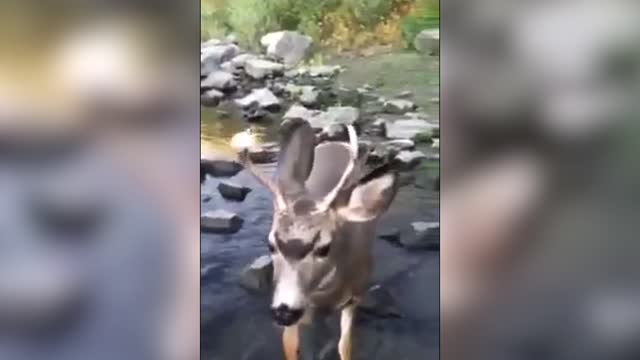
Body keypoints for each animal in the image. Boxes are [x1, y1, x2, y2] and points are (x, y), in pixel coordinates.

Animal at [230, 121, 400, 360]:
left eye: (324, 247)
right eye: (271, 244)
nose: (284, 311)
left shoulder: (354, 297)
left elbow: (344, 346)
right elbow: (291, 347)